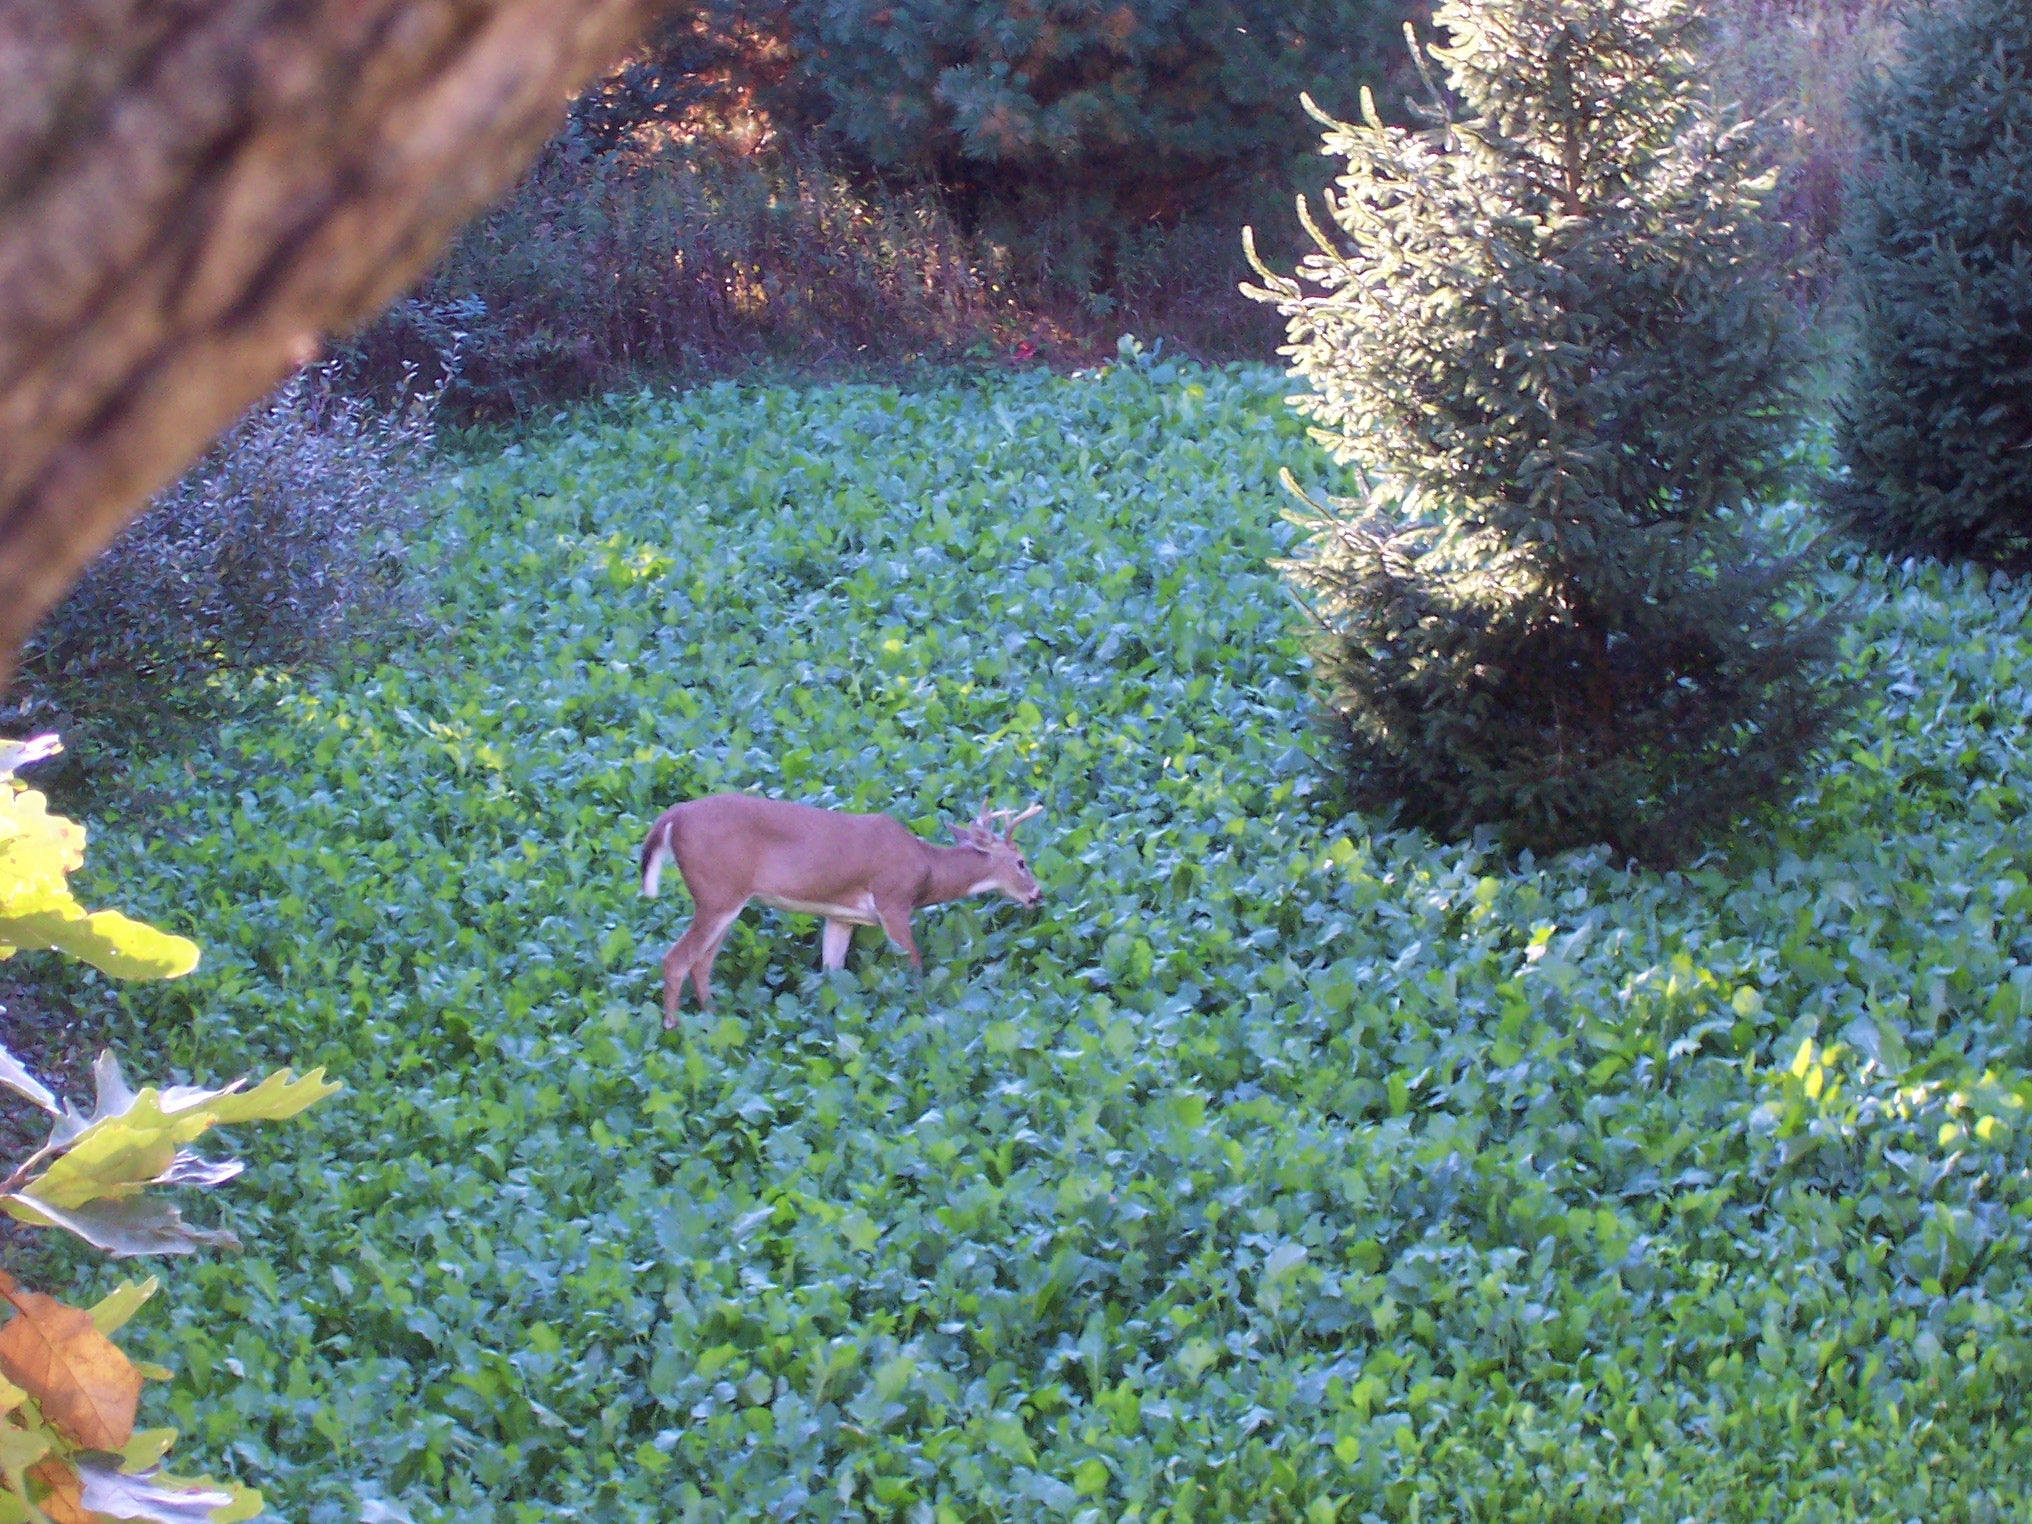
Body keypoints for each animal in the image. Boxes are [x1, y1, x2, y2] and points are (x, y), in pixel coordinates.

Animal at [638, 800, 1048, 1028]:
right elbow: (914, 962)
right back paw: (673, 1027)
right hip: (717, 892)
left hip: (725, 900)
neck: (927, 870)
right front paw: (918, 1007)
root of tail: (670, 818)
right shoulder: (893, 900)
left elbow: (831, 972)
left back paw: (714, 1016)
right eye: (1021, 862)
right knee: (675, 960)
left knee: (700, 962)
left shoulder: (843, 916)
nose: (1037, 895)